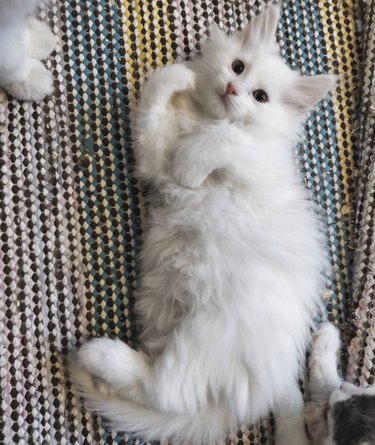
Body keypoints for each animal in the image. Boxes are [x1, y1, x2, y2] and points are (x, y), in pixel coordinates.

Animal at [69, 4, 336, 444]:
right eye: (238, 66)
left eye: (260, 97)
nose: (231, 88)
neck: (200, 120)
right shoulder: (153, 158)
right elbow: (155, 96)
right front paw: (181, 76)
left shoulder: (258, 163)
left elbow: (227, 140)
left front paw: (193, 162)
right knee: (162, 390)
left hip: (208, 330)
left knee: (164, 390)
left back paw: (99, 355)